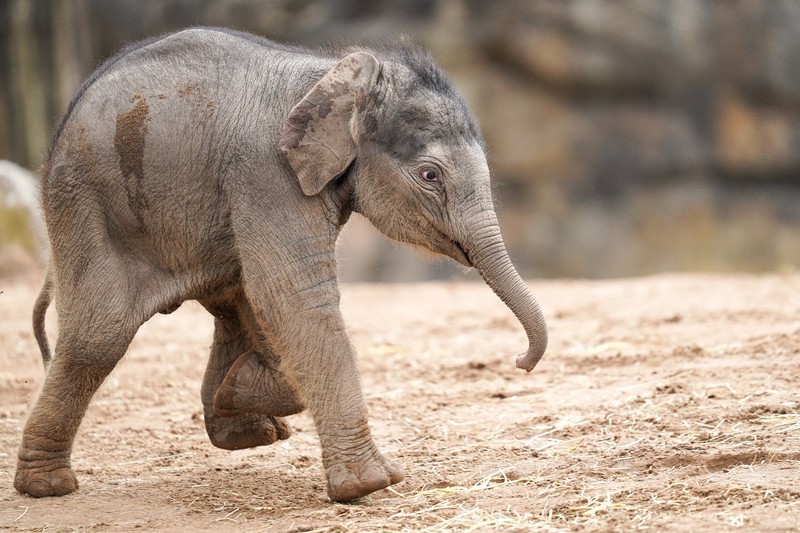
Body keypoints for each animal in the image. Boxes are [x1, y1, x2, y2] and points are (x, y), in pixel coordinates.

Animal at [15, 27, 548, 502]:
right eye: (430, 175)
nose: (519, 361)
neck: (334, 76)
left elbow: (276, 299)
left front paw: (241, 389)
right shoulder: (267, 171)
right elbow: (296, 298)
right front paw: (372, 485)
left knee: (232, 302)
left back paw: (245, 427)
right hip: (85, 200)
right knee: (99, 336)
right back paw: (47, 487)